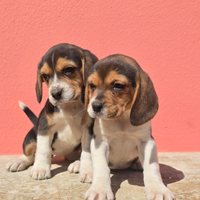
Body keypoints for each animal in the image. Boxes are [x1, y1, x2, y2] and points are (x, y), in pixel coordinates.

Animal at [6, 42, 99, 180]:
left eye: (68, 70)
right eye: (45, 76)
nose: (55, 94)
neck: (69, 106)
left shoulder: (88, 128)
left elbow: (86, 151)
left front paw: (87, 171)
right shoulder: (45, 126)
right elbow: (43, 149)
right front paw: (40, 168)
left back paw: (77, 163)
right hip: (30, 138)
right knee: (29, 155)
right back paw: (19, 162)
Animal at [81, 54, 175, 200]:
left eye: (117, 85)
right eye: (92, 86)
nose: (95, 106)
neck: (121, 119)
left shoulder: (147, 142)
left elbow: (152, 167)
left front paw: (158, 189)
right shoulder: (100, 142)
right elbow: (101, 167)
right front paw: (99, 190)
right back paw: (84, 170)